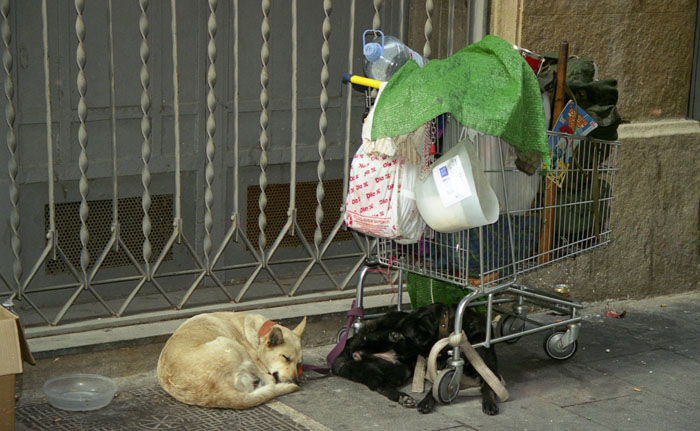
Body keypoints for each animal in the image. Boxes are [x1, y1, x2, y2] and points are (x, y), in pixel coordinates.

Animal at [330, 302, 500, 416]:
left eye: (408, 338)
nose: (397, 343)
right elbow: (435, 386)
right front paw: (427, 401)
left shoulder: (490, 367)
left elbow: (489, 385)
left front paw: (489, 402)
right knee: (371, 340)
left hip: (398, 369)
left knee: (382, 386)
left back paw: (403, 398)